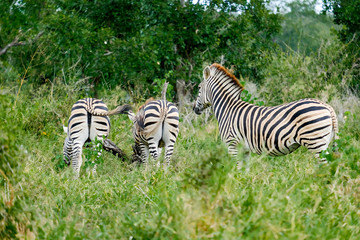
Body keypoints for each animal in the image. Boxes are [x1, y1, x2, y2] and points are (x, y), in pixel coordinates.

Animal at [194, 62, 338, 163]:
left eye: (199, 88)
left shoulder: (232, 145)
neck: (227, 109)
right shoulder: (244, 150)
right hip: (324, 142)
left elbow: (236, 169)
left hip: (315, 142)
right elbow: (243, 171)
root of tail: (327, 106)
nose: (194, 109)